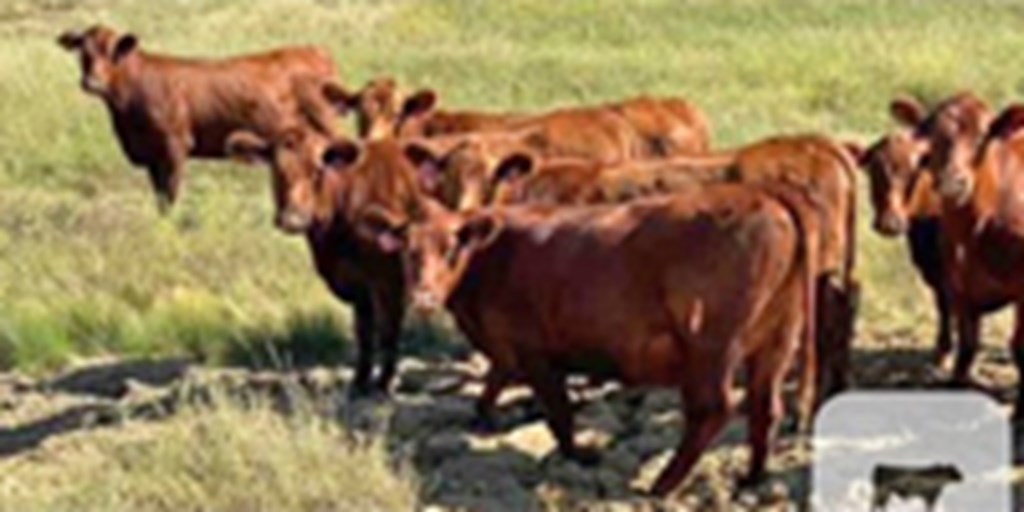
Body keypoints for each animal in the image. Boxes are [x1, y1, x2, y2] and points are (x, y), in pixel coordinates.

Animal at [57, 24, 342, 211]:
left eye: (112, 52)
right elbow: (159, 198)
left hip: (327, 125)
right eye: (83, 53)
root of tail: (314, 51)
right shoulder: (150, 155)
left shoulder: (175, 146)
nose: (91, 82)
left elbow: (169, 197)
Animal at [357, 184, 820, 496]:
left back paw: (663, 484)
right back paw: (752, 477)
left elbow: (558, 413)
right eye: (407, 251)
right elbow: (491, 386)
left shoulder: (534, 351)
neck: (492, 257)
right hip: (776, 341)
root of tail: (765, 195)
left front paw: (577, 455)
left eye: (453, 248)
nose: (423, 296)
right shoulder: (508, 348)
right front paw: (485, 417)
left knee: (713, 410)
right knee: (765, 407)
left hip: (710, 346)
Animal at [860, 93, 993, 369]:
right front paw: (943, 348)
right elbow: (943, 303)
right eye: (874, 172)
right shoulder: (930, 266)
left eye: (916, 168)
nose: (889, 223)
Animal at [920, 102, 1024, 413]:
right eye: (933, 136)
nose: (952, 183)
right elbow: (967, 344)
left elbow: (1019, 347)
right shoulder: (957, 283)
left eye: (982, 138)